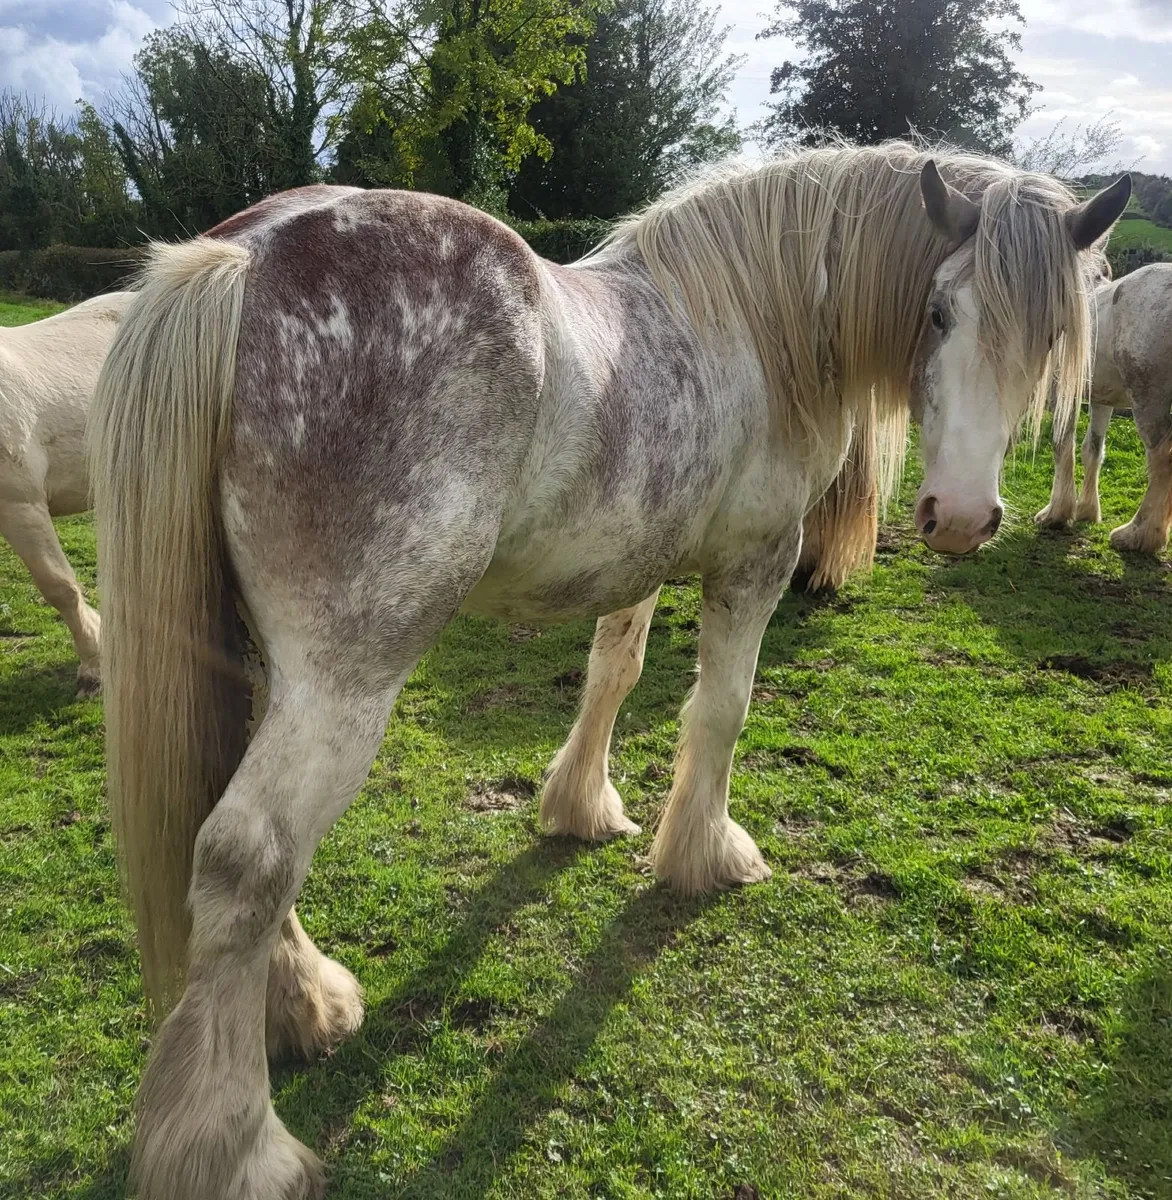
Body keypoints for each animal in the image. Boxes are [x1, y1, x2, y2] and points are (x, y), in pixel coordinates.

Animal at [89, 143, 1127, 1200]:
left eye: (1053, 336)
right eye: (941, 312)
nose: (959, 520)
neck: (756, 320)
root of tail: (247, 258)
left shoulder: (641, 562)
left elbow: (613, 675)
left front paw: (581, 806)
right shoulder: (754, 562)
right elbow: (721, 711)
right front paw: (703, 853)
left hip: (263, 664)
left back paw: (305, 1006)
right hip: (344, 678)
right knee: (247, 857)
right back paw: (237, 1148)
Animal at [1037, 261, 1172, 552]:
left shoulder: (1063, 396)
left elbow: (1061, 444)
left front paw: (1056, 513)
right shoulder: (1102, 400)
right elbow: (1092, 449)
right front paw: (1086, 511)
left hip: (1148, 400)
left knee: (1161, 459)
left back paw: (1138, 534)